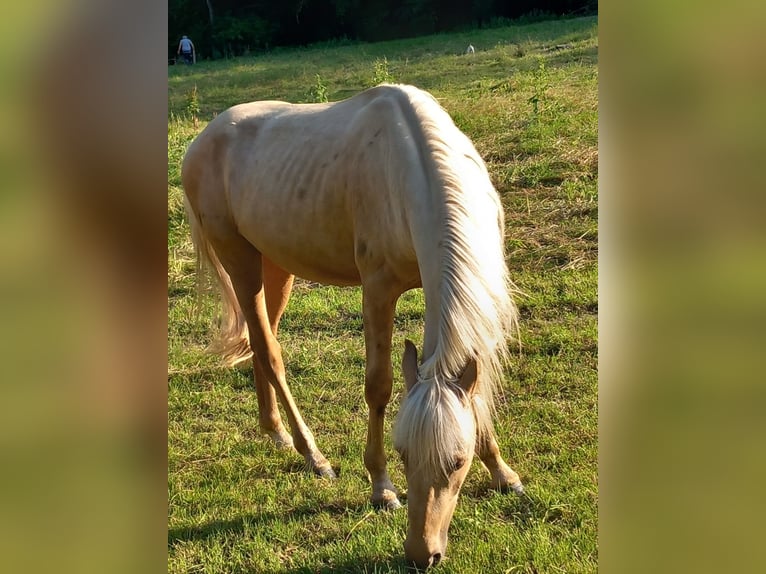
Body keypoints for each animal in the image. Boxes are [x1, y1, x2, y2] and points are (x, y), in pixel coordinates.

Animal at [183, 83, 524, 568]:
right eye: (403, 454)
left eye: (459, 462)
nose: (422, 554)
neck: (412, 168)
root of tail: (202, 139)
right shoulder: (378, 290)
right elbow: (378, 386)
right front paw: (382, 489)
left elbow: (476, 394)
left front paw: (502, 472)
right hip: (240, 261)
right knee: (269, 349)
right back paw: (313, 455)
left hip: (275, 267)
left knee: (260, 339)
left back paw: (276, 432)